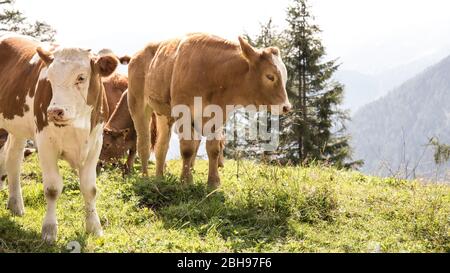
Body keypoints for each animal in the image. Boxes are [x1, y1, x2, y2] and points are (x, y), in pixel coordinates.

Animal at [0, 33, 125, 241]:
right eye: (49, 78)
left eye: (81, 77)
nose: (54, 111)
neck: (78, 124)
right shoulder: (45, 143)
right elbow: (52, 189)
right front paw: (49, 230)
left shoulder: (95, 144)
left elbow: (90, 188)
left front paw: (94, 227)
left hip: (17, 128)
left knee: (13, 159)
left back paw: (16, 204)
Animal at [128, 33, 290, 188]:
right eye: (270, 76)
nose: (286, 106)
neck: (212, 74)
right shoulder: (183, 113)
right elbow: (187, 149)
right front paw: (186, 181)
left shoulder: (218, 116)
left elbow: (213, 149)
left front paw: (213, 182)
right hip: (137, 105)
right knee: (144, 144)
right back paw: (145, 178)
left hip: (163, 114)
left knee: (161, 146)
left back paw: (159, 178)